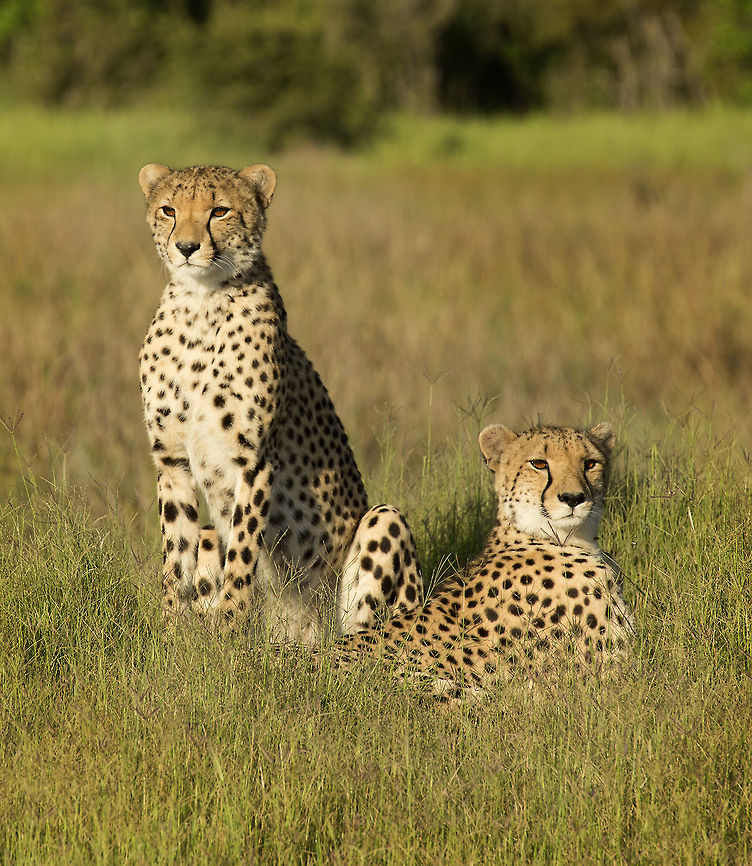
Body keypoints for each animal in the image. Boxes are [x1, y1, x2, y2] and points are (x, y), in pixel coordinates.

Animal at [138, 162, 423, 641]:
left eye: (219, 211)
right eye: (169, 209)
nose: (187, 247)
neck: (200, 303)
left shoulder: (252, 460)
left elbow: (243, 552)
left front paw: (229, 629)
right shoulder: (172, 459)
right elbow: (176, 556)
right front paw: (171, 632)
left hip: (382, 529)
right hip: (212, 533)